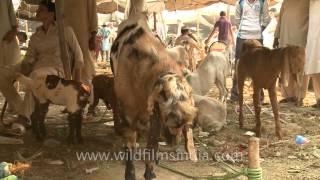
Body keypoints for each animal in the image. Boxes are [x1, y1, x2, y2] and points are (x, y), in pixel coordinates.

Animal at [110, 0, 198, 179]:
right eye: (164, 93)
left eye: (188, 95)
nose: (181, 118)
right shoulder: (127, 113)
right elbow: (130, 146)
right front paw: (130, 174)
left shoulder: (154, 117)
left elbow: (152, 146)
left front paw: (150, 172)